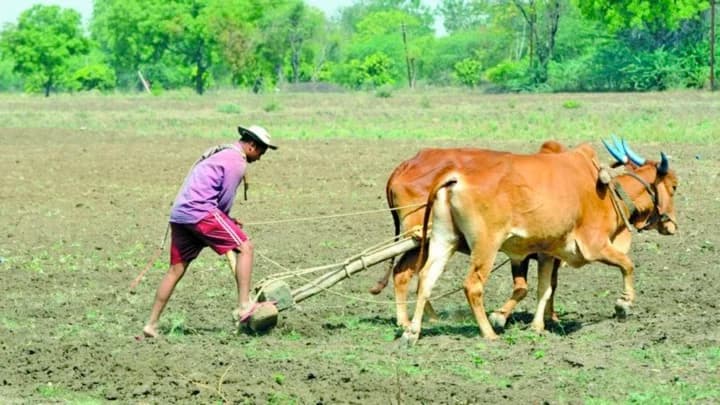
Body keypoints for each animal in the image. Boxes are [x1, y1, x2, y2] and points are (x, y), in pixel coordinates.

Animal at [370, 141, 568, 329]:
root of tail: (405, 166)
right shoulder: (526, 254)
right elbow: (526, 288)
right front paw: (500, 317)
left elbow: (549, 285)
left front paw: (551, 318)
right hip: (422, 241)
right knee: (403, 275)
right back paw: (407, 320)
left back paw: (428, 318)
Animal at [401, 141, 678, 344]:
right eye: (674, 186)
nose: (672, 225)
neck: (609, 192)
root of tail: (455, 178)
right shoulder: (595, 245)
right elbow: (628, 265)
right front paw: (623, 304)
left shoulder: (548, 254)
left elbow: (544, 289)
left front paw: (537, 326)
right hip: (485, 246)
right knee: (472, 285)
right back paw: (488, 333)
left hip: (444, 239)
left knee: (425, 279)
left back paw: (412, 332)